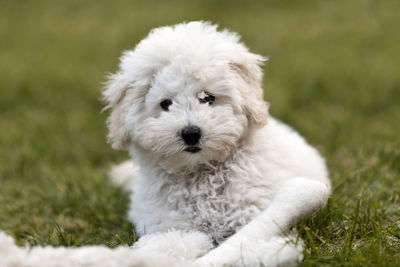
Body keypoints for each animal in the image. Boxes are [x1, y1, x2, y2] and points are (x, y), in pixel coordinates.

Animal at [0, 22, 332, 266]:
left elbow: (250, 239)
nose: (191, 133)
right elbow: (170, 244)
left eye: (208, 97)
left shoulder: (252, 215)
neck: (200, 175)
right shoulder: (165, 224)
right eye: (165, 104)